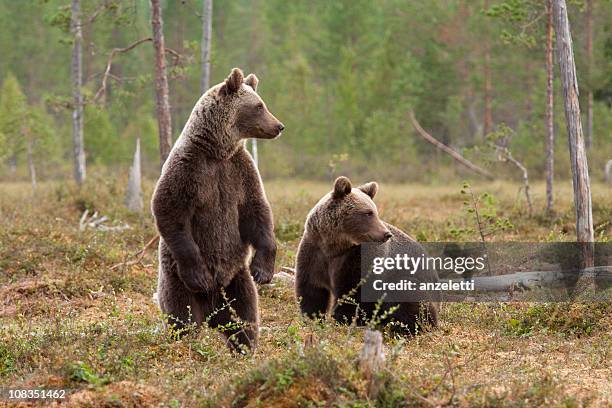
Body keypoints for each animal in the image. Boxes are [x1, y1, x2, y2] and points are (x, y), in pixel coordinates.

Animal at [294, 177, 438, 334]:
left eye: (375, 212)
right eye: (368, 213)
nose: (386, 234)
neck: (335, 246)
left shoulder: (358, 258)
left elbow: (354, 292)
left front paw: (343, 320)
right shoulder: (315, 252)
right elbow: (312, 290)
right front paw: (313, 319)